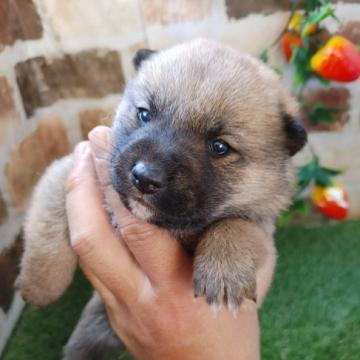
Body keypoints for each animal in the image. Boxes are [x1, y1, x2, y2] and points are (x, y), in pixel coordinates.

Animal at [14, 38, 306, 358]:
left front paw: (224, 269)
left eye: (220, 147)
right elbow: (48, 226)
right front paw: (40, 286)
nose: (144, 177)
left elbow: (239, 225)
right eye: (144, 114)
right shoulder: (70, 168)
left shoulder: (263, 228)